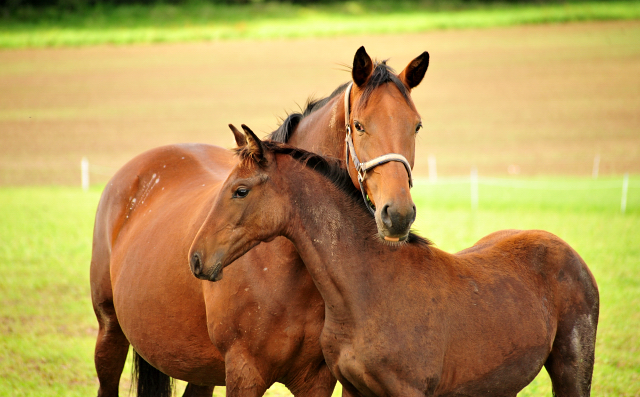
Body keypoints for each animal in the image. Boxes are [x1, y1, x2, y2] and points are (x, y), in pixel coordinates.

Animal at [90, 47, 430, 396]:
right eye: (359, 126)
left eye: (416, 126)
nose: (398, 214)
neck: (286, 266)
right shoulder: (244, 372)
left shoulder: (317, 379)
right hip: (110, 331)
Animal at [189, 124, 600, 396]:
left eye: (240, 191)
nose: (196, 258)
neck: (368, 291)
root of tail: (569, 252)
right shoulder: (355, 389)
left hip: (572, 371)